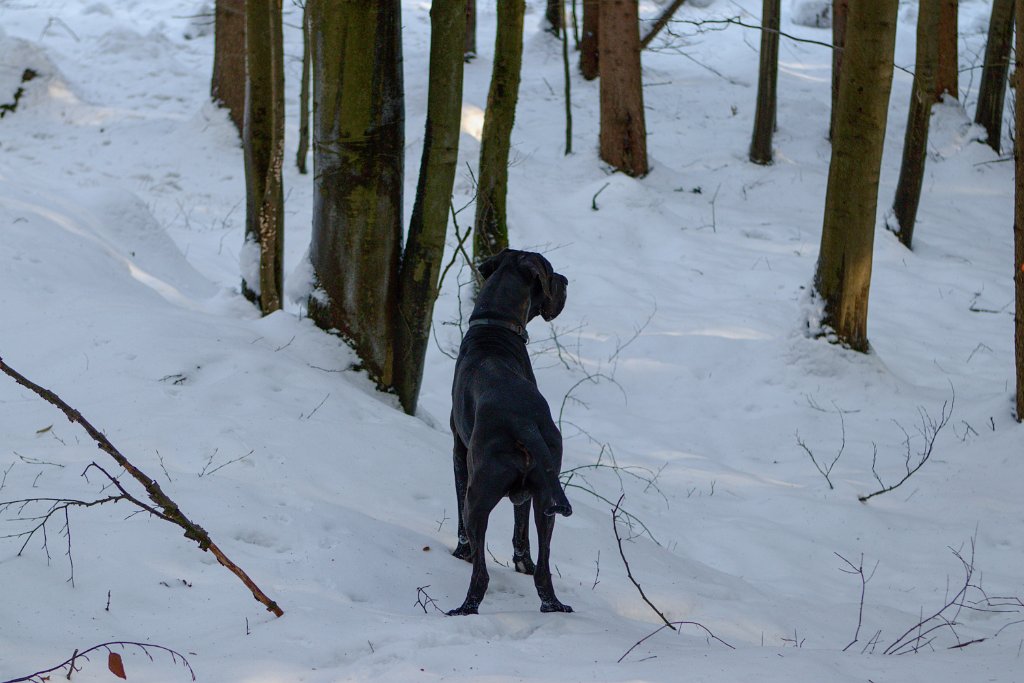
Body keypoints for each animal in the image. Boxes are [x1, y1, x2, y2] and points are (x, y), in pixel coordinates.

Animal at [450, 248, 577, 618]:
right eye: (551, 272)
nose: (565, 280)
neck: (494, 325)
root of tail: (525, 422)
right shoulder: (528, 494)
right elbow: (521, 532)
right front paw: (523, 563)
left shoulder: (458, 450)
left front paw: (460, 553)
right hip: (547, 498)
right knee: (544, 571)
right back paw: (552, 604)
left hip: (478, 496)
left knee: (480, 574)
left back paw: (463, 608)